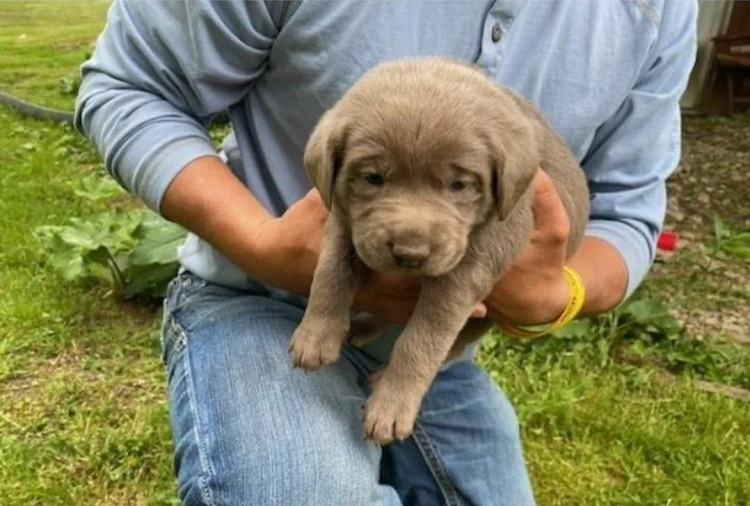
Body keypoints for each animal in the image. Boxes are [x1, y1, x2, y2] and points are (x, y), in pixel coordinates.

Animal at [290, 57, 592, 446]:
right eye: (373, 178)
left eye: (459, 185)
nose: (410, 254)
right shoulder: (346, 219)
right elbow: (332, 268)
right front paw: (316, 335)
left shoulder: (473, 262)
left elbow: (422, 338)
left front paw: (391, 406)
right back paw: (364, 326)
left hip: (481, 319)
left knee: (450, 346)